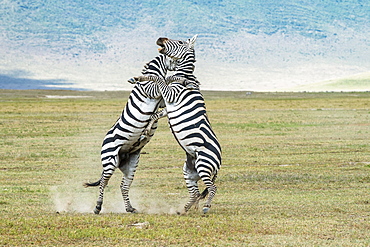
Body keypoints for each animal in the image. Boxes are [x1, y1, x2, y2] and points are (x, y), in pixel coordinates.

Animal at [82, 35, 195, 213]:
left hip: (130, 164)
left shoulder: (161, 100)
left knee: (123, 185)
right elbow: (161, 82)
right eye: (174, 58)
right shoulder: (152, 91)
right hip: (109, 160)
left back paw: (130, 208)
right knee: (103, 183)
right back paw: (98, 207)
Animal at [131, 35, 223, 214]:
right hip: (189, 171)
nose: (160, 38)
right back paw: (183, 210)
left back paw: (206, 207)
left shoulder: (172, 95)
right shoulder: (168, 106)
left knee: (213, 188)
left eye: (180, 42)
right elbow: (155, 114)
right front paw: (145, 130)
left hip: (203, 164)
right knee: (195, 193)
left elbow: (159, 79)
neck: (183, 75)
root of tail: (219, 162)